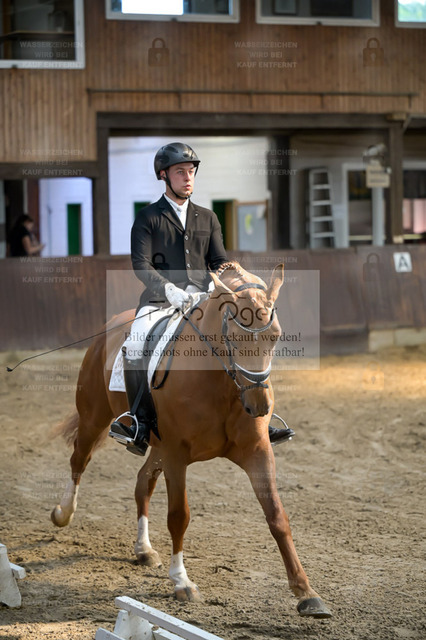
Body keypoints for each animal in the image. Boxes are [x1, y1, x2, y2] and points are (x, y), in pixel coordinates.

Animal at [51, 260, 331, 619]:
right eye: (235, 337)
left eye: (275, 336)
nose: (259, 406)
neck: (221, 382)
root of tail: (110, 326)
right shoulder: (176, 454)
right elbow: (179, 516)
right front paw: (182, 582)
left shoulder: (256, 451)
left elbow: (277, 516)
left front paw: (306, 592)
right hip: (95, 417)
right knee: (79, 459)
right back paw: (63, 514)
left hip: (155, 446)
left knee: (142, 481)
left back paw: (144, 550)